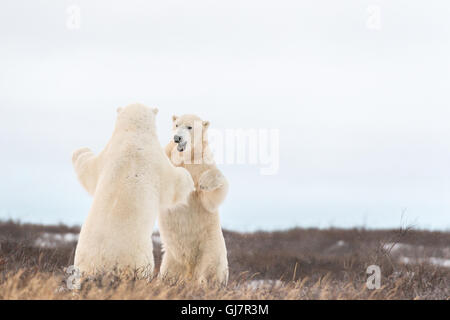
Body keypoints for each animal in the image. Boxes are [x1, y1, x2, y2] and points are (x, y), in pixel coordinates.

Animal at [72, 103, 195, 278]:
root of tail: (104, 263)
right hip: (139, 257)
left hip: (83, 260)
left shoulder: (109, 153)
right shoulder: (156, 159)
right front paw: (188, 177)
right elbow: (173, 183)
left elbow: (89, 171)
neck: (134, 135)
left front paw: (80, 151)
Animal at [158, 114, 229, 284]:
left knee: (209, 271)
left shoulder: (202, 165)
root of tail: (189, 270)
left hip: (210, 248)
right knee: (168, 273)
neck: (186, 157)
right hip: (171, 257)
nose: (177, 138)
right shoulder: (169, 157)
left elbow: (210, 198)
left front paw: (204, 183)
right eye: (177, 125)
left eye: (189, 127)